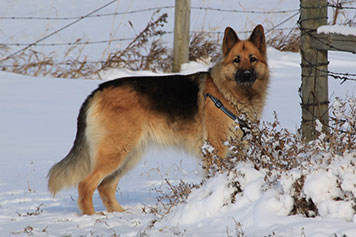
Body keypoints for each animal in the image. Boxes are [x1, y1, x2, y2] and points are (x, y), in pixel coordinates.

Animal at [48, 24, 270, 215]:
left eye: (252, 59)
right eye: (236, 60)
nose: (247, 75)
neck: (228, 94)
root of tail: (98, 90)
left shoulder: (238, 148)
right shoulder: (217, 149)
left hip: (129, 155)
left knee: (105, 186)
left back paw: (120, 214)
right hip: (116, 153)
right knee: (86, 184)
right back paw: (92, 217)